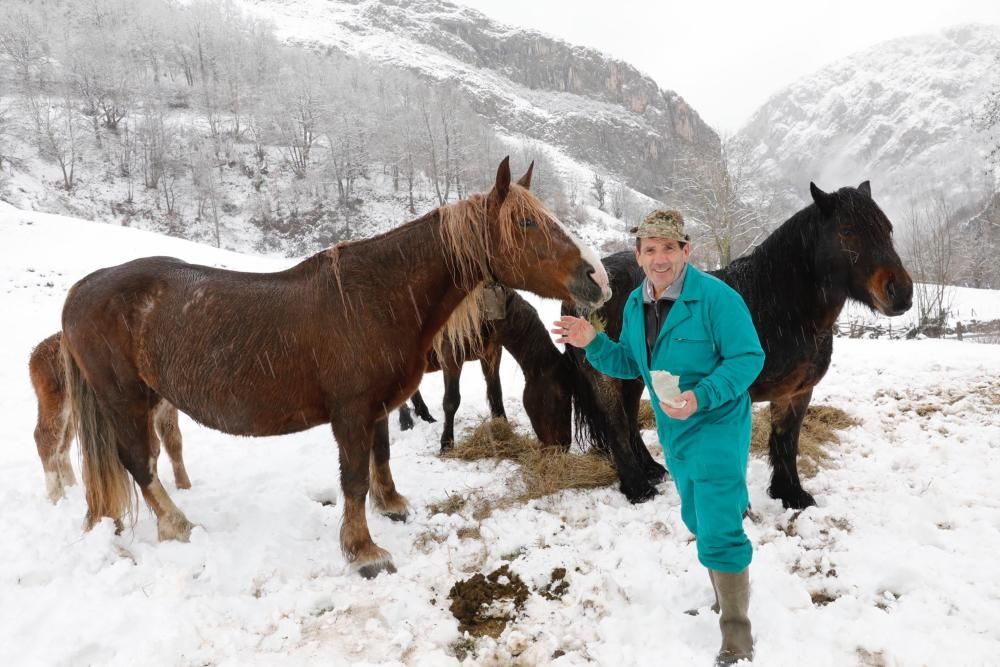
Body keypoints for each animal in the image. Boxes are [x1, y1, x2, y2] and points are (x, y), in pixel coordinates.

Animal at [29, 332, 190, 504]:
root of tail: (36, 355)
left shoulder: (167, 409)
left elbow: (174, 442)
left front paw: (185, 486)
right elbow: (152, 448)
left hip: (73, 415)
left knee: (62, 446)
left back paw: (71, 487)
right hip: (56, 405)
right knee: (46, 438)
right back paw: (57, 497)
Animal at [64, 158, 608, 580]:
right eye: (526, 224)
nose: (597, 277)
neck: (374, 299)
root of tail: (82, 289)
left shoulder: (378, 408)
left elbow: (380, 458)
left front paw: (393, 506)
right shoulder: (350, 414)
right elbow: (354, 480)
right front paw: (364, 552)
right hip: (124, 399)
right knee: (138, 462)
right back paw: (178, 526)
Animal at [568, 180, 912, 508]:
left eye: (888, 229)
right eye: (847, 231)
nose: (901, 292)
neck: (779, 305)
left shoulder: (796, 393)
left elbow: (786, 441)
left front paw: (790, 495)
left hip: (633, 376)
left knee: (628, 418)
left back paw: (652, 470)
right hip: (606, 381)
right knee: (615, 424)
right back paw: (638, 489)